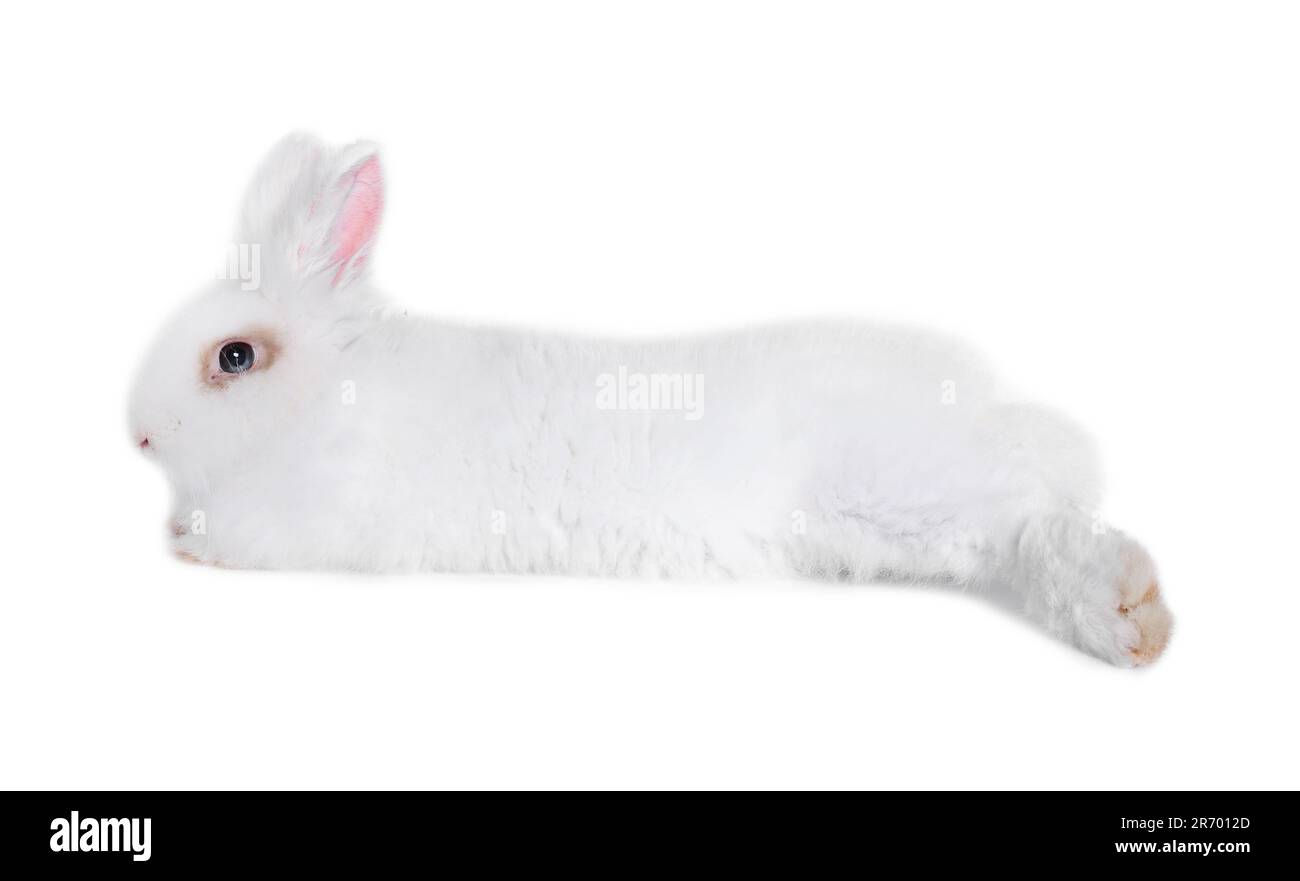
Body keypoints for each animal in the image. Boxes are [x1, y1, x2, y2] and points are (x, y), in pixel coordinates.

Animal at [130, 133, 1172, 667]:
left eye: (234, 357)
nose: (139, 433)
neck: (325, 399)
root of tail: (995, 410)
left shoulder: (310, 522)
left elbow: (233, 539)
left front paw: (183, 540)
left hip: (909, 488)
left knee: (1037, 526)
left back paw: (1130, 611)